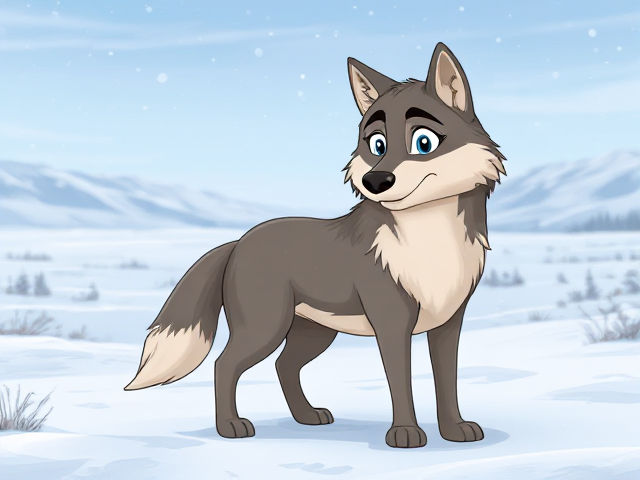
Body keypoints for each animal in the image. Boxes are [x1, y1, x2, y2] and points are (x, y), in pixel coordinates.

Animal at [125, 42, 506, 449]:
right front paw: (404, 434)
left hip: (314, 332)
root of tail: (239, 241)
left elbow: (447, 382)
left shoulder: (449, 323)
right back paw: (231, 426)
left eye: (424, 142)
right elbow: (400, 383)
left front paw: (455, 431)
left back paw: (306, 417)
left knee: (283, 365)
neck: (430, 245)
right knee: (224, 364)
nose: (376, 181)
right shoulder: (391, 323)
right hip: (266, 328)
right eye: (377, 144)